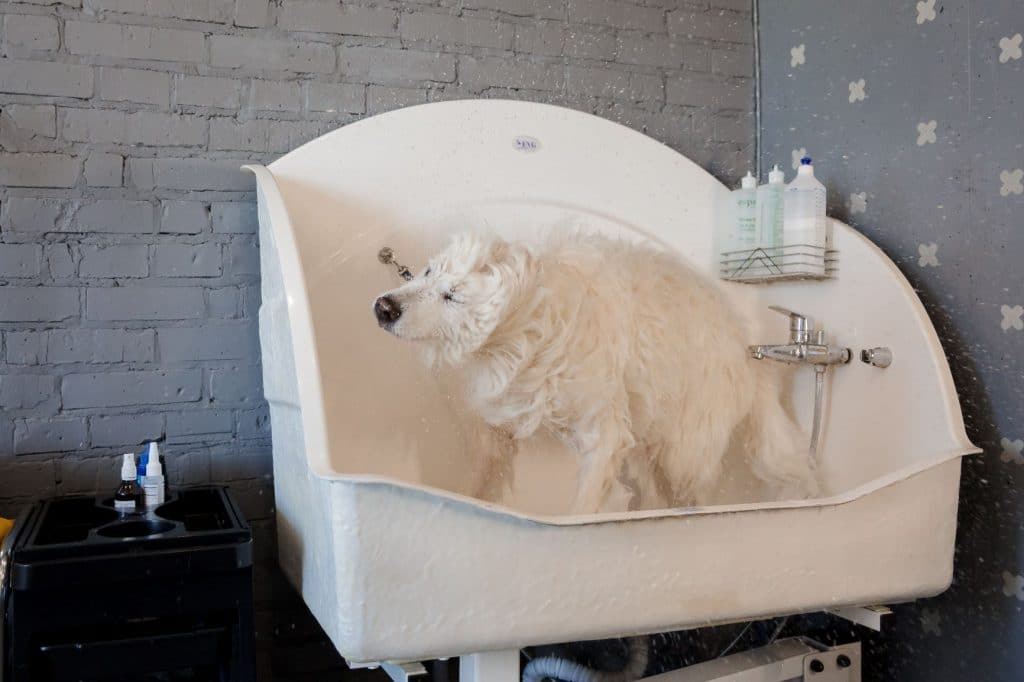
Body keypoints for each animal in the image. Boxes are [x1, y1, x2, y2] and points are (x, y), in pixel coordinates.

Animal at [374, 229, 815, 509]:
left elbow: (585, 503)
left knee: (695, 492)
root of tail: (748, 355)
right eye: (428, 272)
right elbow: (481, 475)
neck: (530, 328)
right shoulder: (499, 425)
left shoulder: (603, 431)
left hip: (685, 448)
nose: (384, 306)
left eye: (453, 296)